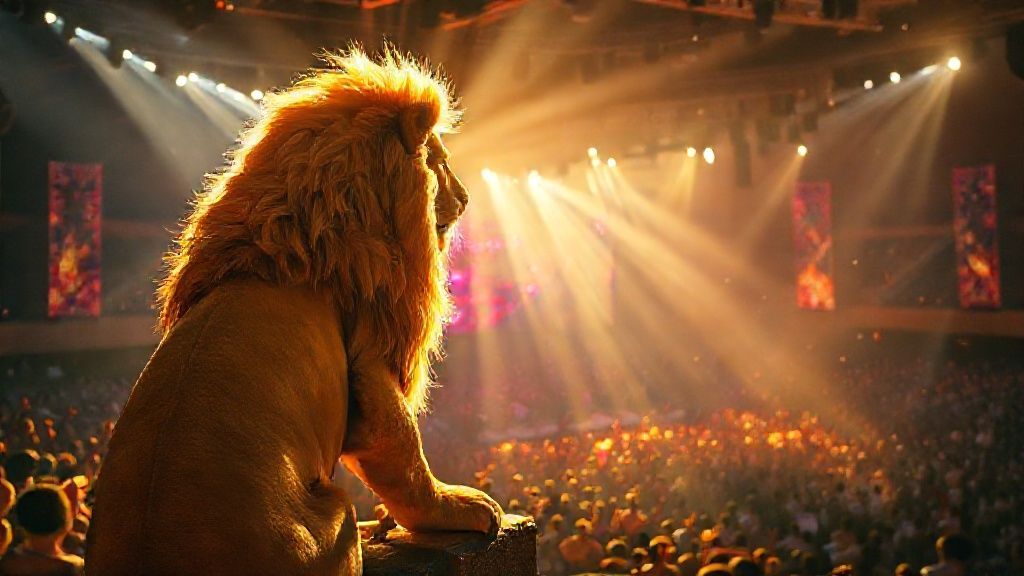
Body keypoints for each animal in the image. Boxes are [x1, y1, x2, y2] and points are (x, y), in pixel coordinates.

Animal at [85, 47, 502, 575]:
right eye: (441, 163)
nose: (467, 199)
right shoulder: (370, 357)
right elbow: (402, 449)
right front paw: (461, 506)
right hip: (335, 509)